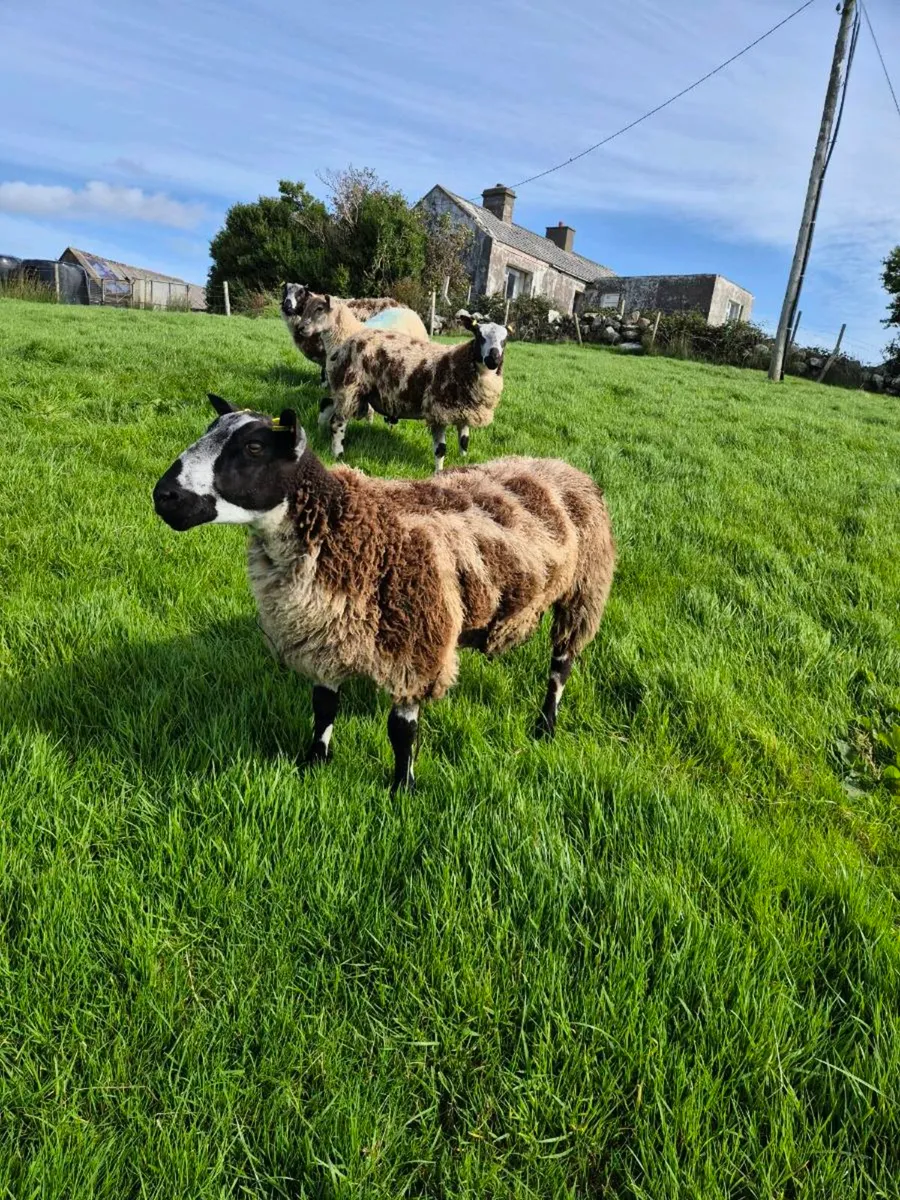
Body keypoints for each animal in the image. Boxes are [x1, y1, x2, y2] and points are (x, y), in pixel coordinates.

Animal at [152, 394, 616, 793]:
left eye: (253, 447)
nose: (164, 496)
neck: (345, 524)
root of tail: (565, 467)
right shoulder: (325, 636)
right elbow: (323, 707)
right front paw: (315, 761)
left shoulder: (414, 648)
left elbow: (402, 732)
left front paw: (402, 788)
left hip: (583, 592)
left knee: (560, 667)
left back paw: (545, 725)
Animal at [292, 292, 509, 472]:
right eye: (479, 335)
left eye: (505, 341)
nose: (494, 359)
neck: (458, 360)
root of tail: (347, 343)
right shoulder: (438, 411)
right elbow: (441, 449)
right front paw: (438, 473)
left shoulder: (463, 410)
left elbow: (464, 440)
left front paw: (464, 461)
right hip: (351, 386)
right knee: (338, 422)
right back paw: (338, 453)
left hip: (348, 389)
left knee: (326, 404)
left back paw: (319, 429)